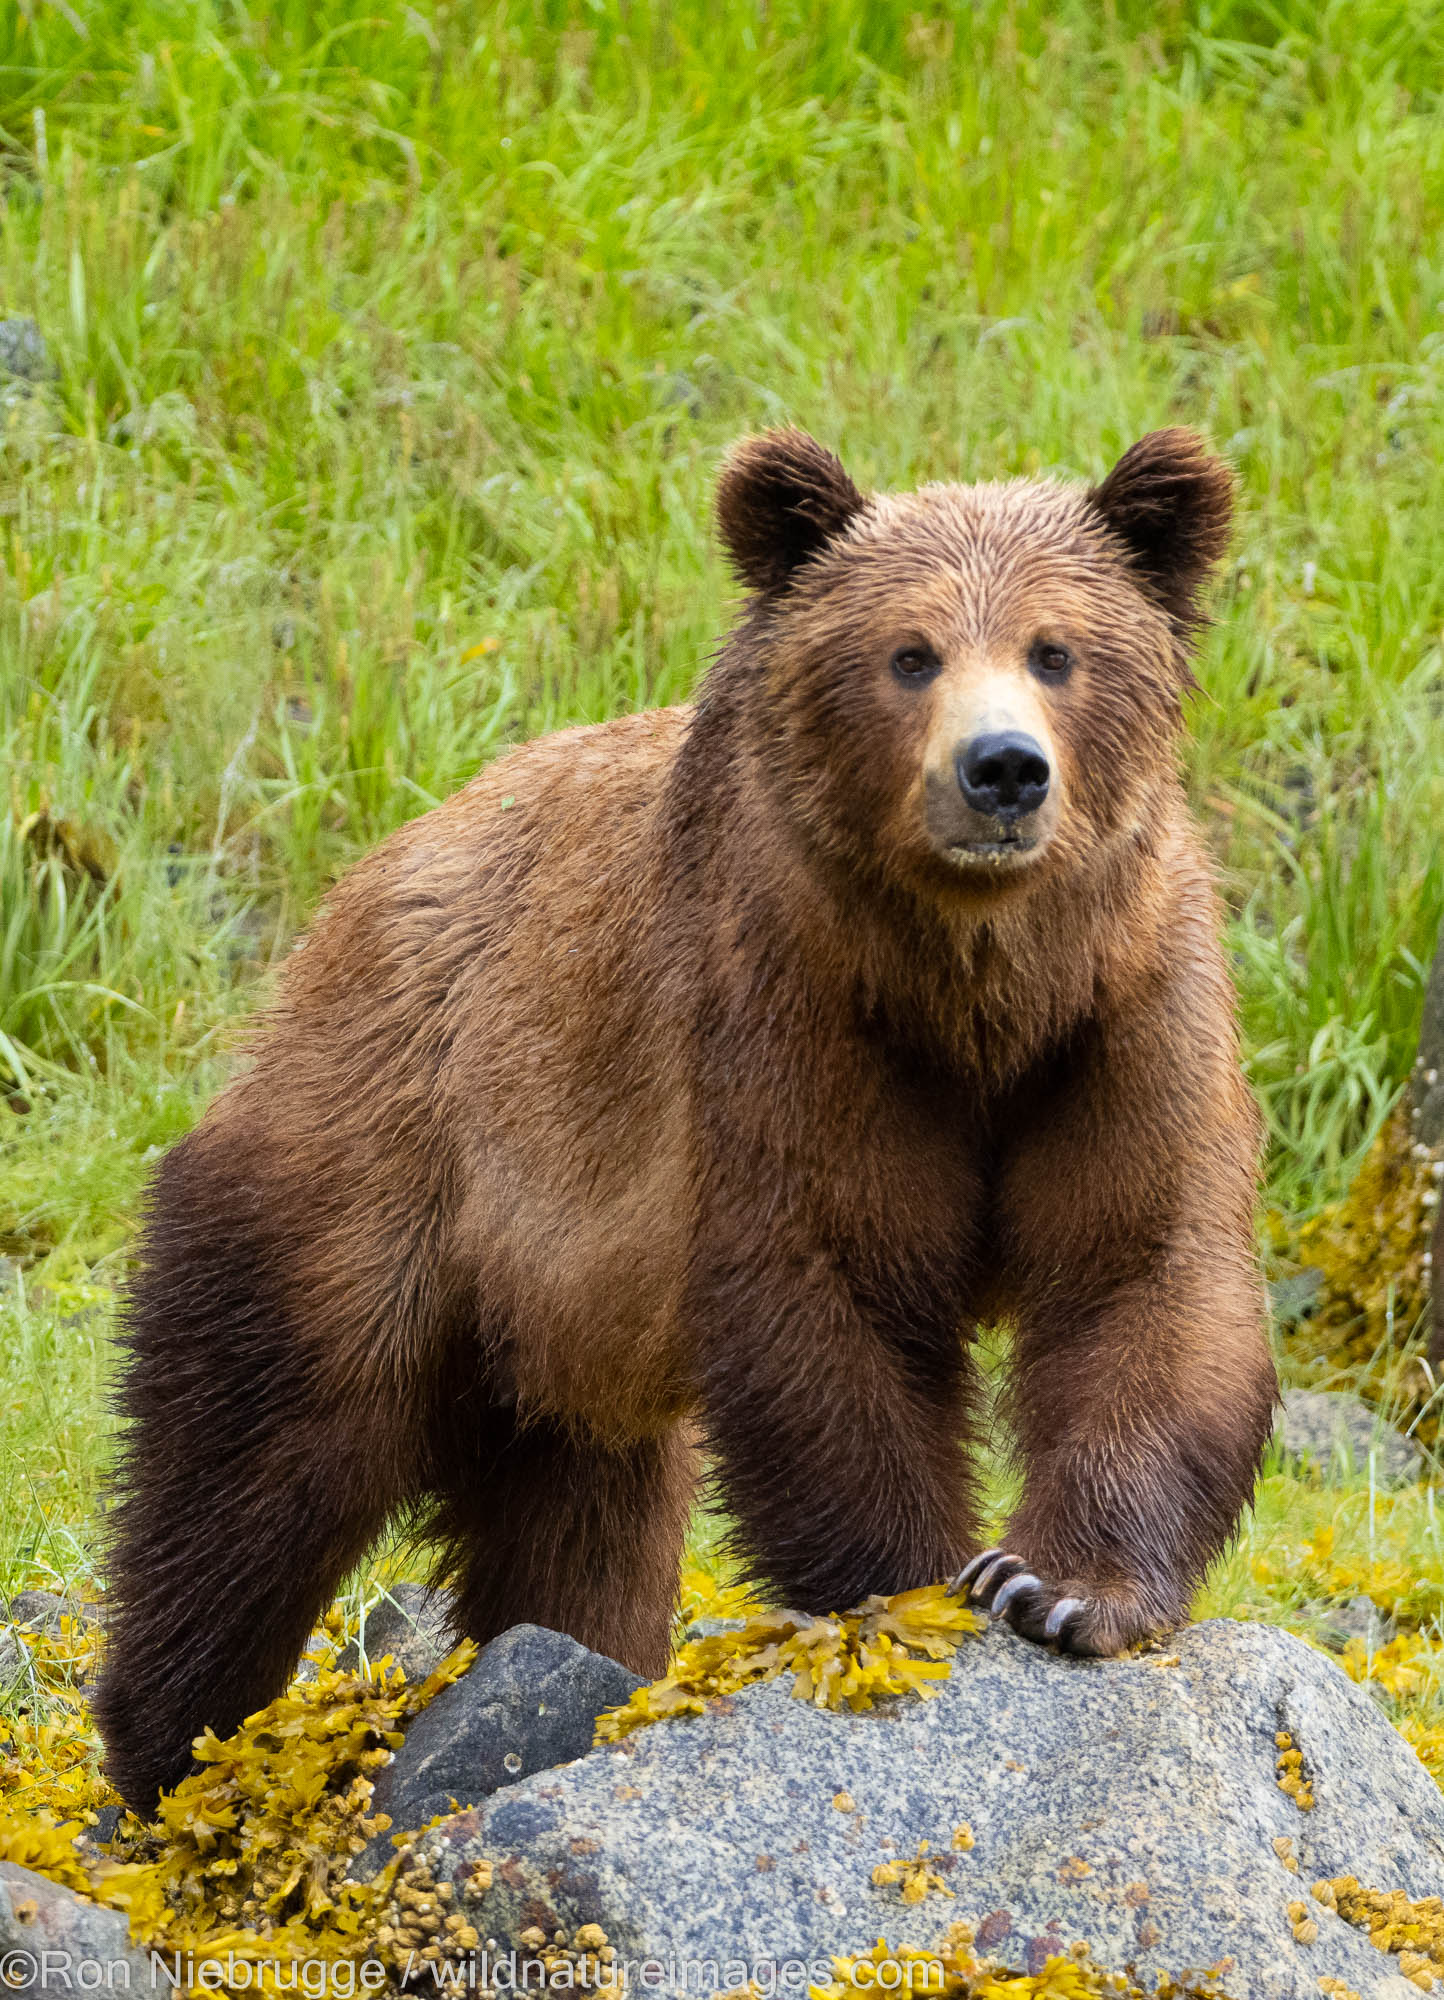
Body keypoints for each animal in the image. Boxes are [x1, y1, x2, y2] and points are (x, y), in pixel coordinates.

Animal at [95, 426, 1280, 1816]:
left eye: (1056, 649)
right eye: (910, 652)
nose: (1001, 770)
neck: (974, 987)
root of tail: (361, 888)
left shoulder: (1121, 1017)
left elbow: (1140, 1268)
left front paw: (1056, 1586)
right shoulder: (785, 1014)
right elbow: (829, 1285)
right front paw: (911, 1583)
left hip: (561, 1327)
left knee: (579, 1531)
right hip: (390, 1153)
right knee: (261, 1457)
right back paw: (175, 1747)